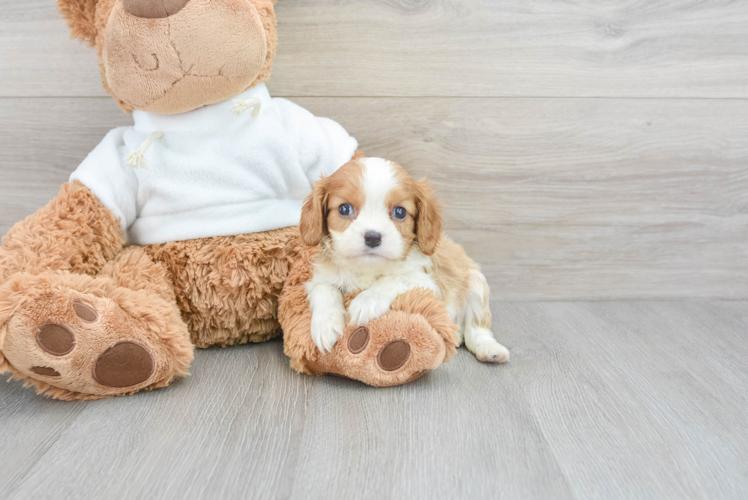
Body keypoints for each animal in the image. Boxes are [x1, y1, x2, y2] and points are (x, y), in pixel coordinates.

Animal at [300, 156, 512, 364]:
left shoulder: (428, 284)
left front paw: (367, 301)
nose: (372, 237)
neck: (368, 269)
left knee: (477, 328)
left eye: (400, 212)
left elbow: (394, 278)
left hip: (476, 283)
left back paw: (489, 349)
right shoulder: (321, 277)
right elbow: (324, 290)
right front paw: (325, 325)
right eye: (344, 209)